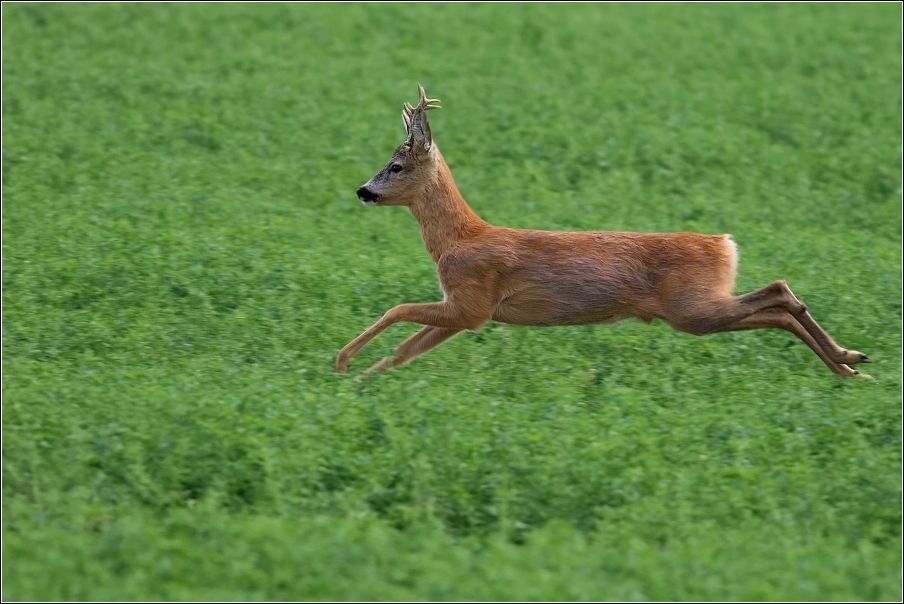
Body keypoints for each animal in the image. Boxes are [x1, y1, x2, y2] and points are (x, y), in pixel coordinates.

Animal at [338, 85, 868, 378]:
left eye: (396, 165)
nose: (363, 191)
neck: (458, 240)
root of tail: (724, 245)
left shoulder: (472, 301)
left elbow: (396, 310)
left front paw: (342, 362)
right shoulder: (470, 311)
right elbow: (405, 351)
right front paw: (363, 381)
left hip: (692, 308)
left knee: (776, 297)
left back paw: (849, 358)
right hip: (697, 306)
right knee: (778, 298)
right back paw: (849, 362)